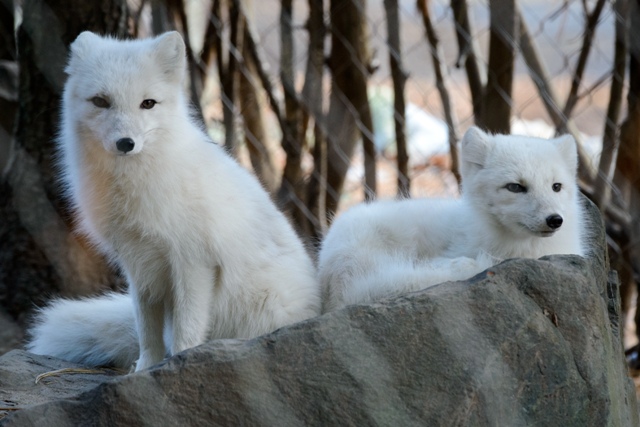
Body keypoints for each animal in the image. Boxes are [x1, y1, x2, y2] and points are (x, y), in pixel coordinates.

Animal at [28, 31, 322, 372]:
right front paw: (145, 369)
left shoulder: (193, 261)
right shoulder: (139, 264)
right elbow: (146, 330)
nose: (125, 143)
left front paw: (181, 365)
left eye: (148, 103)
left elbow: (187, 328)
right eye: (100, 101)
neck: (133, 183)